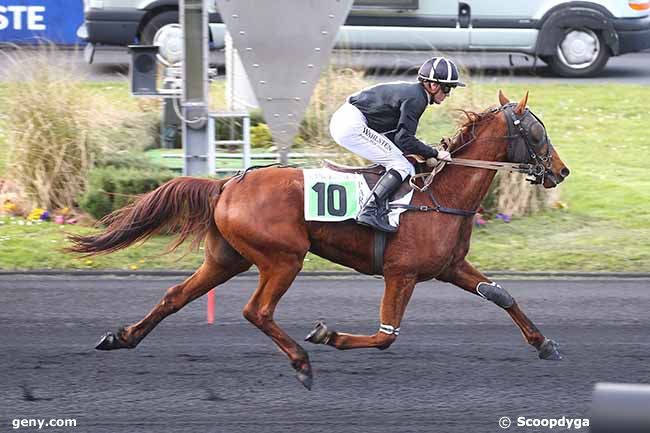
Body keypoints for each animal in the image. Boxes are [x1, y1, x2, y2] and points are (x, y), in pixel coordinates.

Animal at [69, 89, 568, 386]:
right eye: (536, 131)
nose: (561, 171)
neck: (439, 196)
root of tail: (227, 184)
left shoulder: (449, 267)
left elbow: (501, 295)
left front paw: (545, 344)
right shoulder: (401, 273)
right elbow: (385, 335)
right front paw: (329, 335)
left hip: (227, 258)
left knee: (175, 295)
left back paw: (122, 337)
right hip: (283, 258)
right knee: (256, 310)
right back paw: (302, 362)